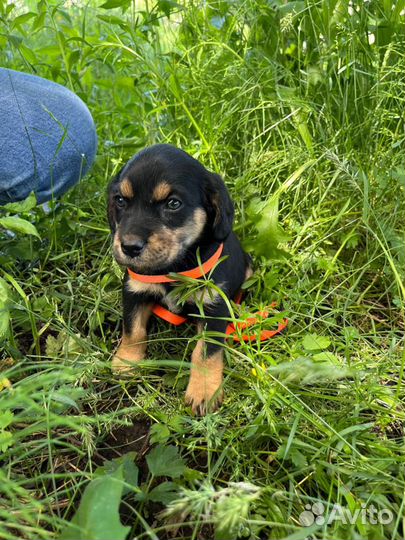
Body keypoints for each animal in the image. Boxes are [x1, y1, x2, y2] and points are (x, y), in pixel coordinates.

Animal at [109, 143, 251, 414]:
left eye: (173, 203)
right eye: (120, 200)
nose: (129, 247)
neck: (173, 267)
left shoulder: (214, 306)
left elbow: (205, 352)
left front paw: (204, 391)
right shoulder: (134, 290)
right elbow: (133, 330)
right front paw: (126, 362)